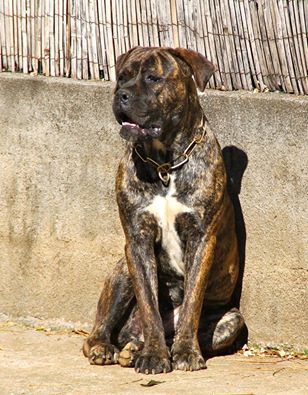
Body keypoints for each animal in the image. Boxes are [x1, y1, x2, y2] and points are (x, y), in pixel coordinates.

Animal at [83, 45, 245, 374]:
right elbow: (149, 306)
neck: (165, 163)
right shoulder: (137, 241)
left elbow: (192, 303)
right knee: (101, 329)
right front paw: (155, 355)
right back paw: (108, 347)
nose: (121, 94)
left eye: (153, 78)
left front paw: (186, 352)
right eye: (123, 76)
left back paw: (137, 348)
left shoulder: (201, 239)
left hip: (233, 320)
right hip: (122, 271)